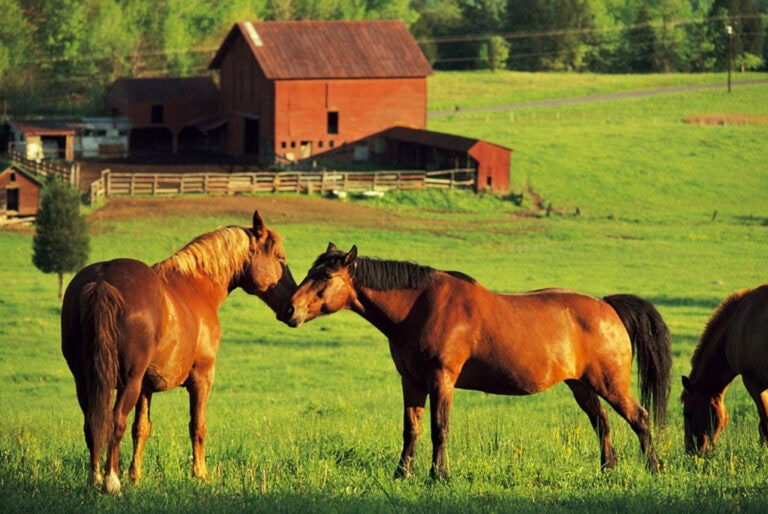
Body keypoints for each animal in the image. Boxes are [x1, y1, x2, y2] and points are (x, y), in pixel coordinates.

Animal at [61, 210, 295, 495]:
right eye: (280, 257)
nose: (292, 307)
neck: (195, 285)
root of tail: (102, 280)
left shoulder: (146, 387)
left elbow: (141, 428)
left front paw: (135, 476)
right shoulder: (202, 378)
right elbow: (197, 426)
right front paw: (200, 474)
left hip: (86, 381)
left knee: (93, 423)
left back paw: (94, 478)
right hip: (128, 381)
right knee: (116, 422)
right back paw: (111, 481)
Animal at [281, 243, 673, 478]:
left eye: (325, 275)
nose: (289, 310)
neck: (419, 305)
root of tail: (607, 307)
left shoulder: (442, 380)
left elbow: (439, 428)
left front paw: (438, 475)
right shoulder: (411, 381)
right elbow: (412, 429)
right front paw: (402, 474)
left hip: (609, 383)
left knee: (639, 418)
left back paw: (654, 466)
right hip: (582, 386)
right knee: (602, 423)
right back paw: (607, 469)